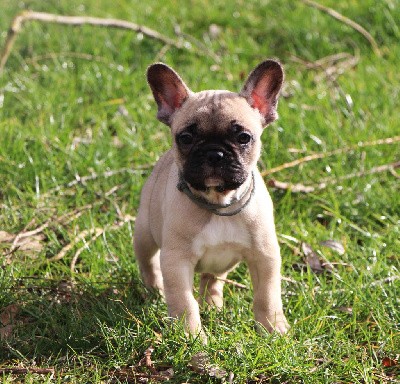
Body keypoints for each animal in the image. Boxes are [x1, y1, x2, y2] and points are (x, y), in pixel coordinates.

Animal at [136, 58, 290, 338]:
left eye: (244, 137)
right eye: (185, 138)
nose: (214, 153)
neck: (219, 202)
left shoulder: (264, 256)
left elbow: (267, 295)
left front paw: (273, 327)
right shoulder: (176, 262)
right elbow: (184, 301)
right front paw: (190, 335)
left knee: (212, 278)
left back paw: (212, 303)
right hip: (144, 234)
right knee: (149, 264)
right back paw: (155, 292)